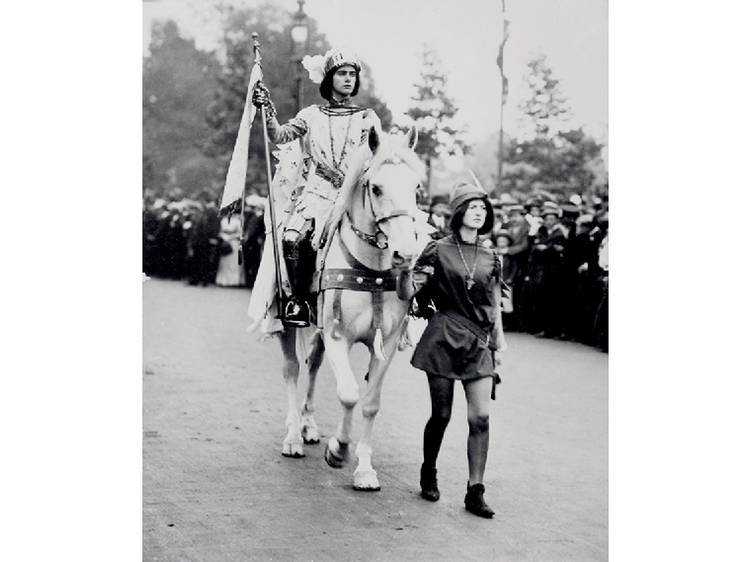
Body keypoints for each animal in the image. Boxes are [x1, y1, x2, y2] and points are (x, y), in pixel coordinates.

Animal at [274, 124, 424, 488]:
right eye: (376, 187)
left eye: (416, 187)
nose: (405, 255)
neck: (370, 269)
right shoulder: (338, 335)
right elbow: (349, 394)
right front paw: (338, 449)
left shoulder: (385, 343)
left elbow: (369, 402)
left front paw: (365, 469)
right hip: (286, 320)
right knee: (292, 369)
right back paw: (293, 437)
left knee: (313, 364)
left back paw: (308, 427)